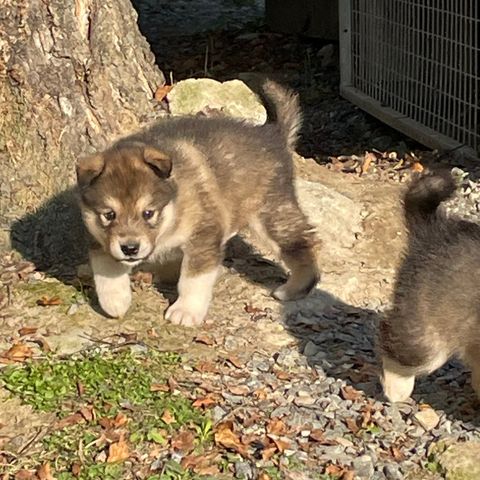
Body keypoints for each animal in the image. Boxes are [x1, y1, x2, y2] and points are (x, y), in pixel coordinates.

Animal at [77, 80, 320, 326]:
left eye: (148, 213)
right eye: (109, 215)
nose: (130, 248)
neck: (172, 213)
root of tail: (272, 133)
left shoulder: (203, 234)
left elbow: (193, 279)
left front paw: (186, 310)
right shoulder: (99, 238)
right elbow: (106, 270)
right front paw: (115, 302)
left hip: (271, 215)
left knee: (303, 245)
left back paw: (294, 287)